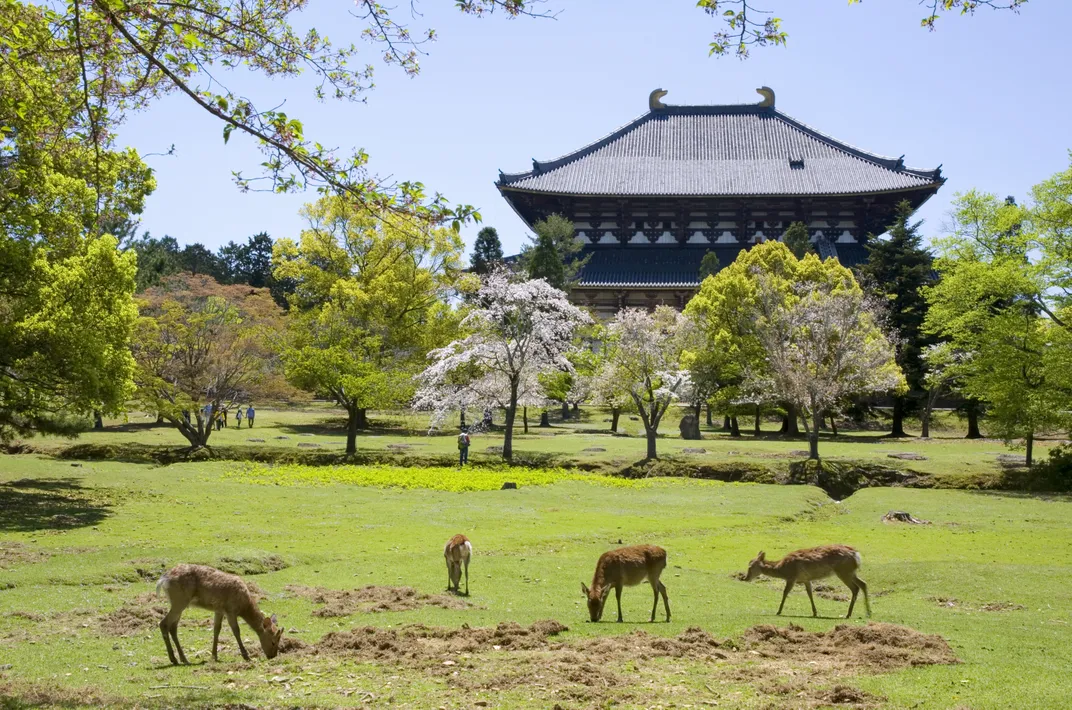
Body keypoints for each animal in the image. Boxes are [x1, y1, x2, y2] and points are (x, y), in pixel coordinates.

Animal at [155, 564, 284, 665]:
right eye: (273, 641)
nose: (272, 656)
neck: (244, 606)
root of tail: (162, 580)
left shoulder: (219, 610)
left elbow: (216, 630)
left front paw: (214, 656)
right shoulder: (230, 610)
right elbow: (236, 631)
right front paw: (247, 657)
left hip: (179, 603)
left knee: (173, 627)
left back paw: (184, 659)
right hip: (179, 601)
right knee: (163, 623)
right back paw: (174, 659)